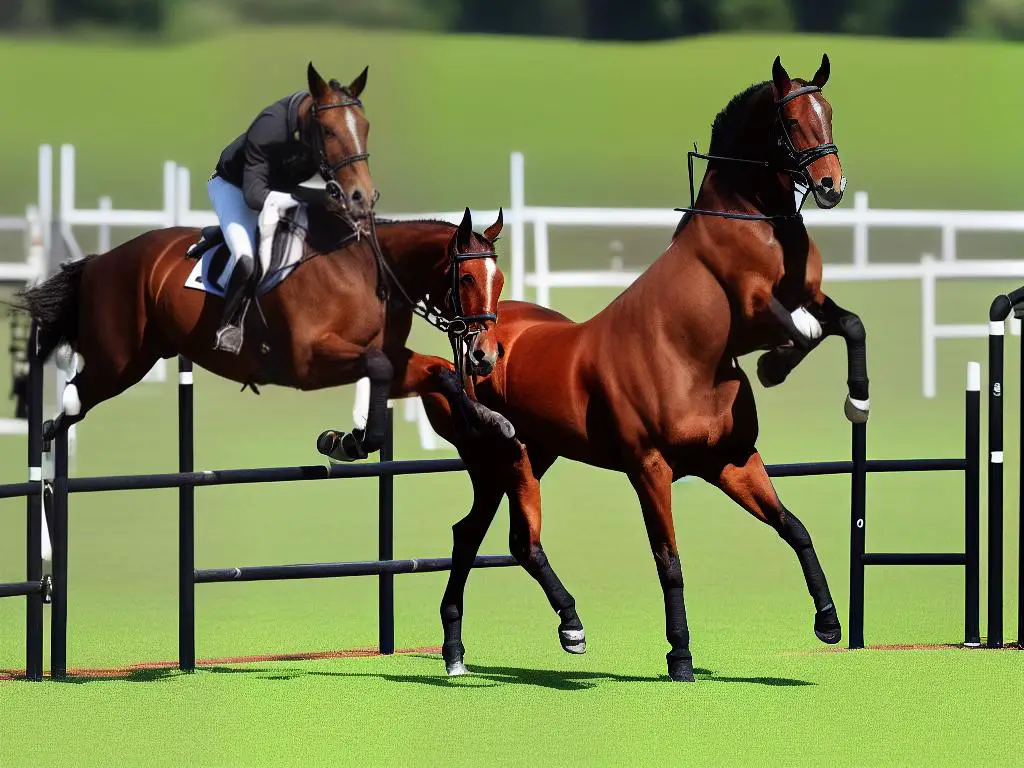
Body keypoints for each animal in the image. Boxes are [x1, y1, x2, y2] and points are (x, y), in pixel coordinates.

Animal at [415, 55, 872, 684]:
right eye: (792, 121)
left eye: (828, 112)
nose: (831, 186)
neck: (693, 357)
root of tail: (470, 344)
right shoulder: (651, 467)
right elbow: (669, 560)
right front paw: (680, 656)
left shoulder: (731, 460)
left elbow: (794, 523)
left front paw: (828, 621)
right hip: (502, 462)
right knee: (514, 541)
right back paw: (565, 628)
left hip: (524, 461)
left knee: (478, 537)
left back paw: (460, 650)